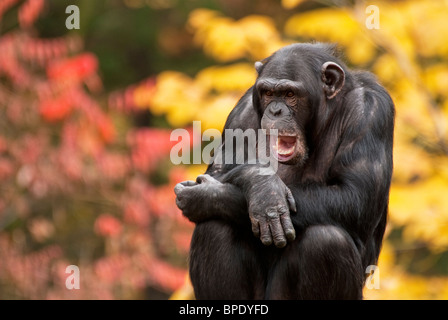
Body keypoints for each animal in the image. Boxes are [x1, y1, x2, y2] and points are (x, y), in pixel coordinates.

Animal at [173, 43, 394, 300]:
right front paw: (262, 188)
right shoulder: (241, 111)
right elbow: (216, 172)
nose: (276, 111)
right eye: (268, 93)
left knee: (326, 241)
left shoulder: (372, 110)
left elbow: (355, 196)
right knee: (213, 227)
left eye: (290, 94)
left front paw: (218, 195)